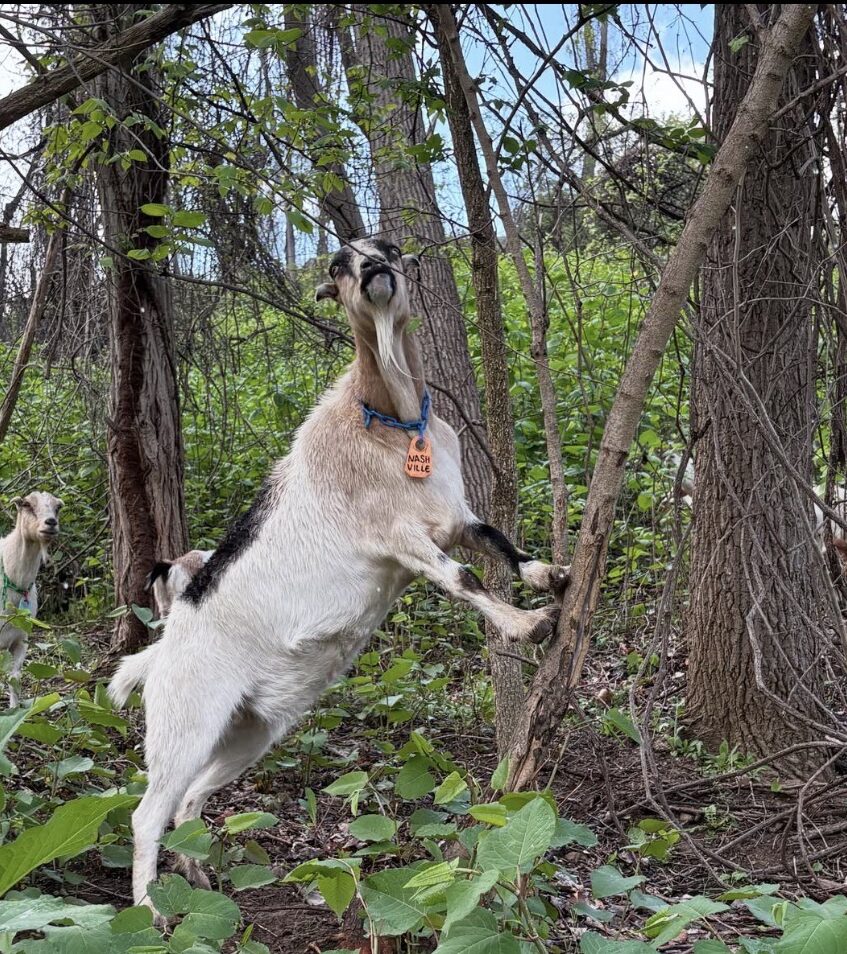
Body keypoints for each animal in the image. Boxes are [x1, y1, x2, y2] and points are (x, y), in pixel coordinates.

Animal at [0, 492, 62, 707]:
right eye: (26, 504)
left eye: (58, 507)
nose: (51, 522)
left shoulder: (21, 639)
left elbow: (14, 679)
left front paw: (14, 710)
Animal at [109, 237, 569, 919]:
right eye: (335, 264)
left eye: (390, 248)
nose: (373, 269)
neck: (392, 423)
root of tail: (162, 650)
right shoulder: (398, 538)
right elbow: (464, 579)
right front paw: (529, 625)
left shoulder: (454, 515)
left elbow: (498, 544)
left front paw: (550, 575)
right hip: (186, 722)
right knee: (147, 813)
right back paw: (151, 911)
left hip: (249, 731)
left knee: (190, 800)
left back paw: (198, 875)